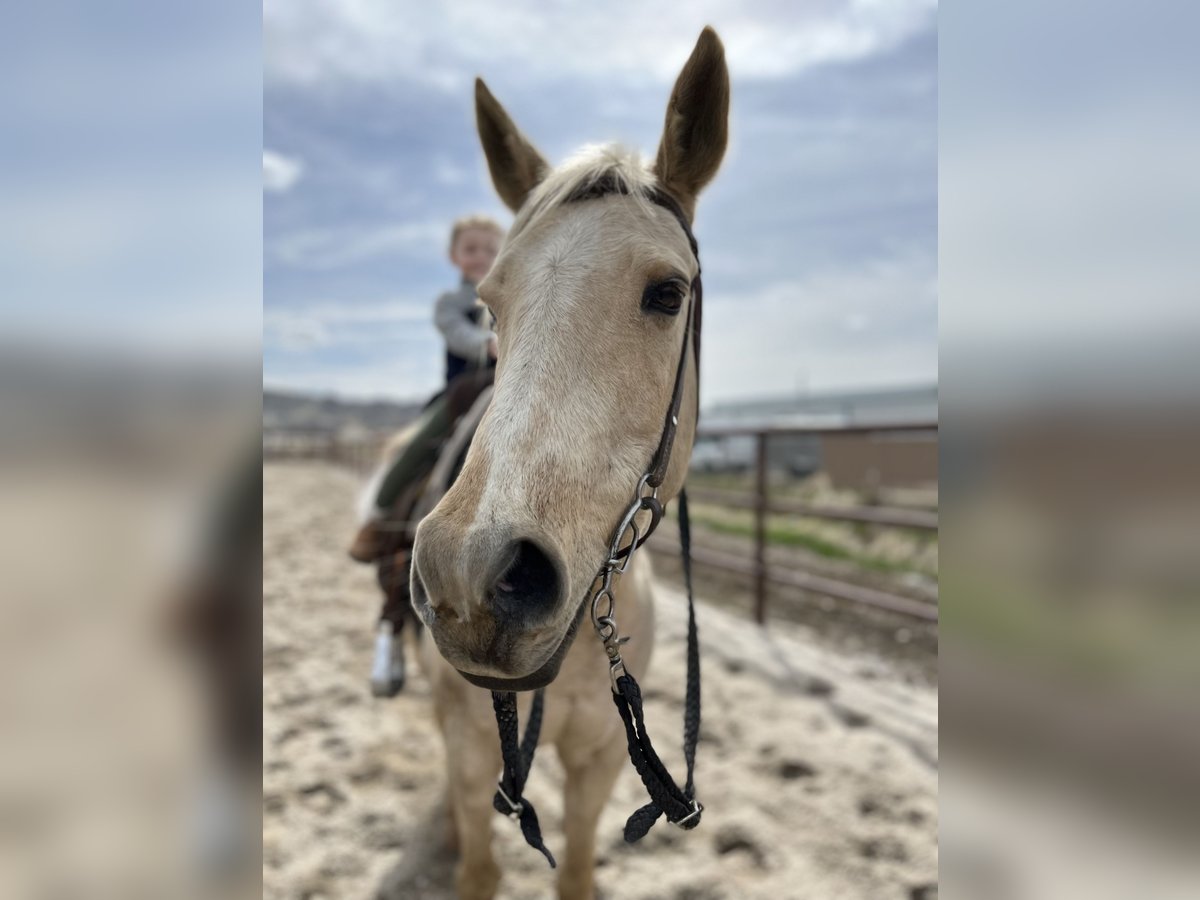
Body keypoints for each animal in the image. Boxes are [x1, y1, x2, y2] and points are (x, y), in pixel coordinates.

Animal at [410, 28, 729, 900]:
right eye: (489, 306)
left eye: (668, 293)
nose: (472, 577)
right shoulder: (470, 746)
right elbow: (479, 866)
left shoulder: (600, 760)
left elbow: (578, 869)